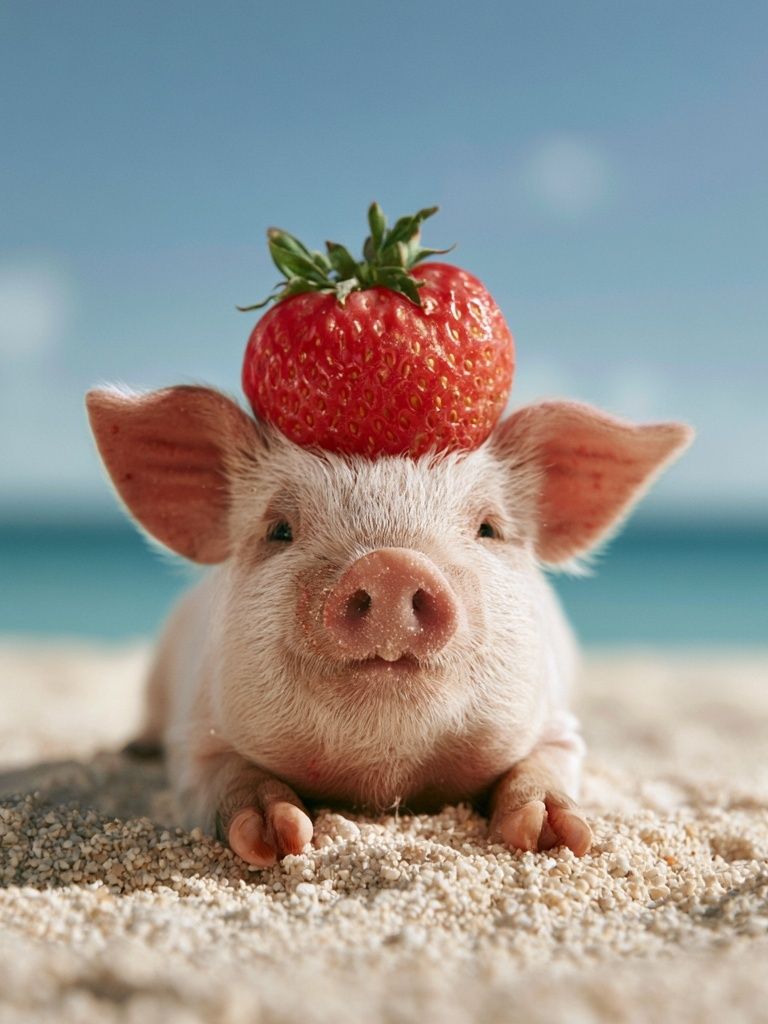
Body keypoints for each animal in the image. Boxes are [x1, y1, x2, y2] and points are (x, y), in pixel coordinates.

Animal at [86, 385, 692, 865]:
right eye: (279, 529)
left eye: (488, 528)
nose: (391, 565)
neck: (386, 783)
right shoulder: (196, 733)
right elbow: (225, 777)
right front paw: (280, 835)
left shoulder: (558, 723)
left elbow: (544, 767)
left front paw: (558, 834)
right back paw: (131, 750)